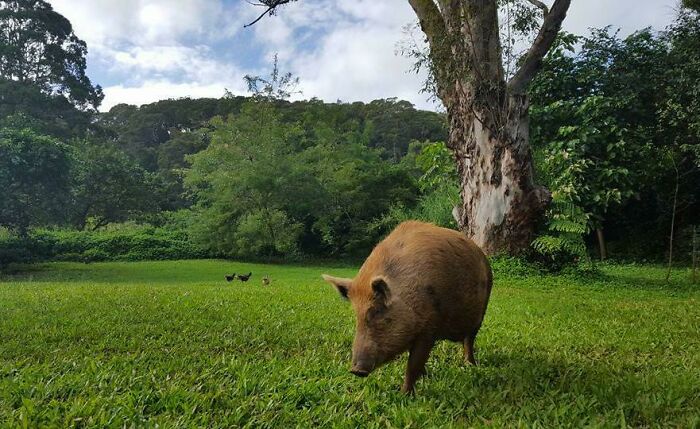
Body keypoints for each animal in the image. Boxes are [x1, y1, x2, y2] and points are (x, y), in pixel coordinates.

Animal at [322, 220, 492, 393]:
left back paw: (470, 365)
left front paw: (404, 394)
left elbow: (413, 365)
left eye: (377, 311)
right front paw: (420, 380)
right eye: (357, 316)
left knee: (469, 340)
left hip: (482, 310)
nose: (356, 370)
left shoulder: (429, 328)